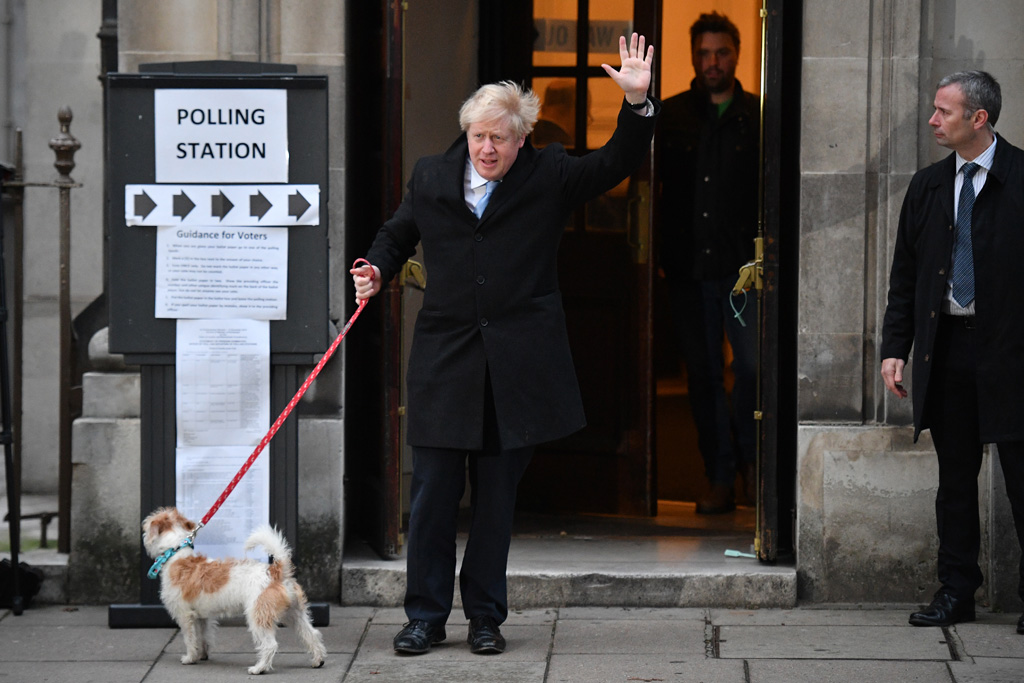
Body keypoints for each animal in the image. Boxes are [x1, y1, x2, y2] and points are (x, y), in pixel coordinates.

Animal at [142, 507, 325, 671]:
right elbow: (203, 637)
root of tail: (276, 572)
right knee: (312, 634)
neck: (175, 554)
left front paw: (190, 658)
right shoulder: (202, 617)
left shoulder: (184, 615)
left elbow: (189, 638)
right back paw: (318, 660)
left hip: (258, 615)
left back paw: (259, 668)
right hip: (295, 614)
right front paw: (202, 655)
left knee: (270, 645)